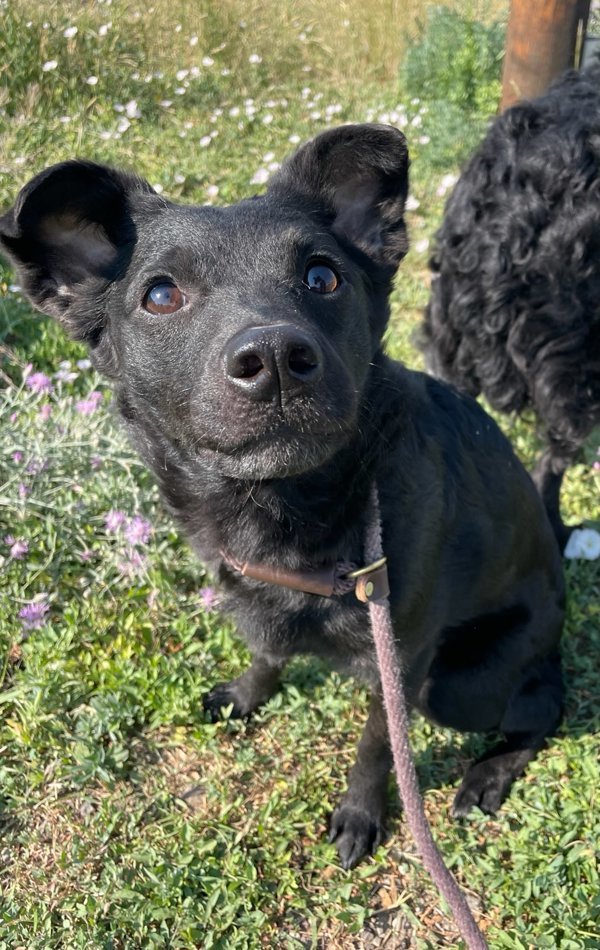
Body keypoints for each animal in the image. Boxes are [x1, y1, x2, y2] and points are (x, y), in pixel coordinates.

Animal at [0, 124, 564, 872]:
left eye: (323, 277)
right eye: (160, 295)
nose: (272, 360)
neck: (291, 512)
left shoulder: (402, 659)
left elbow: (377, 745)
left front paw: (360, 814)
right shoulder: (255, 602)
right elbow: (266, 652)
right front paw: (247, 695)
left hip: (455, 686)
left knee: (544, 707)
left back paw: (487, 775)